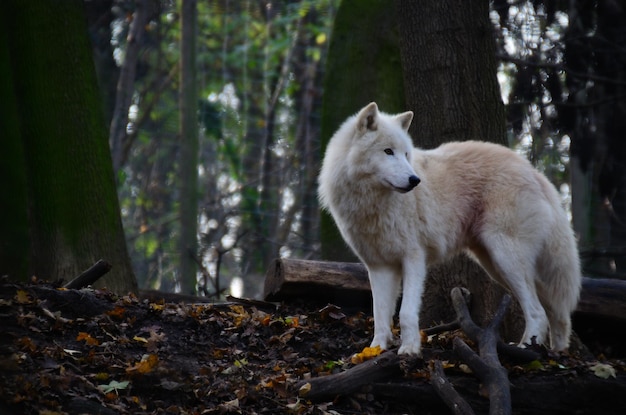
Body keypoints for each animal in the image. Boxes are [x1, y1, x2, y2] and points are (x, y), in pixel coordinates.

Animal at [316, 102, 580, 356]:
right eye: (388, 151)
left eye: (406, 154)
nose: (415, 180)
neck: (373, 204)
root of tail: (534, 171)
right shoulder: (379, 266)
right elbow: (380, 315)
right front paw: (374, 350)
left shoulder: (414, 258)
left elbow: (406, 313)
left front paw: (409, 350)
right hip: (496, 265)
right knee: (555, 310)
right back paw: (556, 351)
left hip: (505, 259)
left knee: (537, 311)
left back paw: (527, 348)